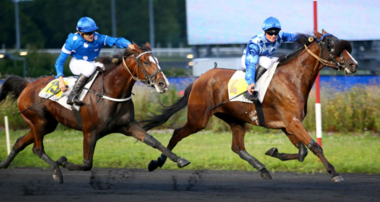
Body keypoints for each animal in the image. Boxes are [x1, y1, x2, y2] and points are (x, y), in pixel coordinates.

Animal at [0, 42, 190, 183]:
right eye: (146, 62)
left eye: (157, 60)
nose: (163, 84)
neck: (110, 92)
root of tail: (28, 85)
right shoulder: (90, 132)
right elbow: (87, 164)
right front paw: (63, 162)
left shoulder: (128, 125)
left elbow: (153, 141)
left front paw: (179, 159)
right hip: (38, 120)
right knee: (37, 149)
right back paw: (56, 171)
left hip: (47, 124)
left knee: (19, 142)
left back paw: (4, 164)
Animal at [141, 30, 358, 183]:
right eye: (332, 46)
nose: (353, 64)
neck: (292, 78)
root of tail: (199, 79)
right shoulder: (292, 122)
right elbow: (314, 146)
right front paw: (334, 172)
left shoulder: (287, 124)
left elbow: (302, 151)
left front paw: (274, 152)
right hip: (198, 118)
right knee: (177, 133)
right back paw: (159, 162)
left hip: (234, 119)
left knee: (237, 147)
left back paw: (262, 168)